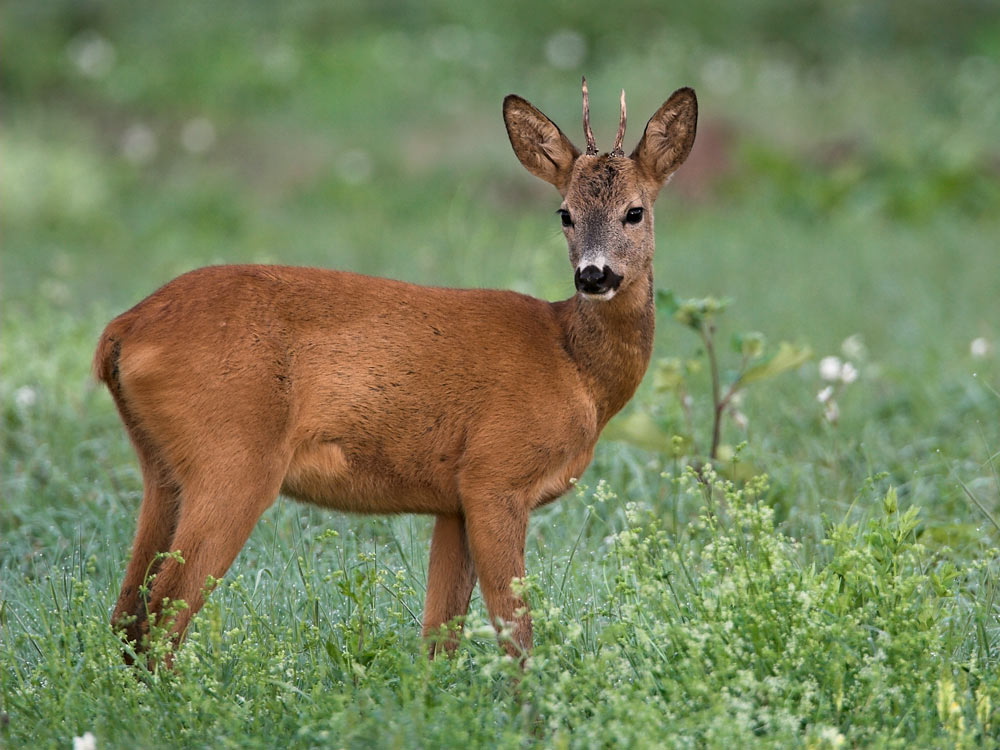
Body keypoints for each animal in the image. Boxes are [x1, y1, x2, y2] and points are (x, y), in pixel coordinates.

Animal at [97, 81, 700, 664]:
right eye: (565, 214)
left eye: (635, 211)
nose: (594, 275)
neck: (574, 366)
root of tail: (121, 330)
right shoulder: (494, 475)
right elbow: (515, 633)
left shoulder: (453, 500)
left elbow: (439, 639)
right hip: (233, 459)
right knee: (157, 621)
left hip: (163, 469)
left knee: (125, 617)